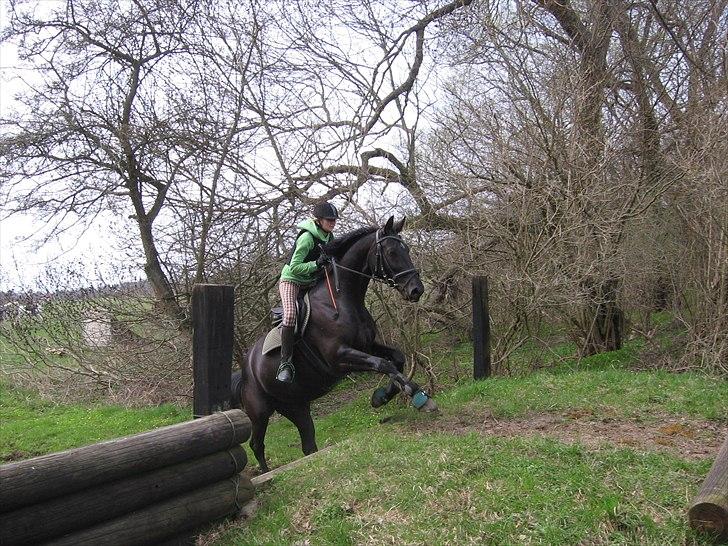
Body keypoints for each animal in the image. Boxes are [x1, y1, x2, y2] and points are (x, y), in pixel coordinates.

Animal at [237, 215, 438, 470]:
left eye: (407, 250)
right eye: (392, 252)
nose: (416, 290)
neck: (342, 299)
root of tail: (246, 366)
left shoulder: (366, 346)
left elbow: (397, 359)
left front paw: (381, 397)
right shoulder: (339, 358)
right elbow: (384, 364)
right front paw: (420, 398)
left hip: (296, 405)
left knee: (307, 441)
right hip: (260, 411)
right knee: (257, 445)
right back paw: (265, 471)